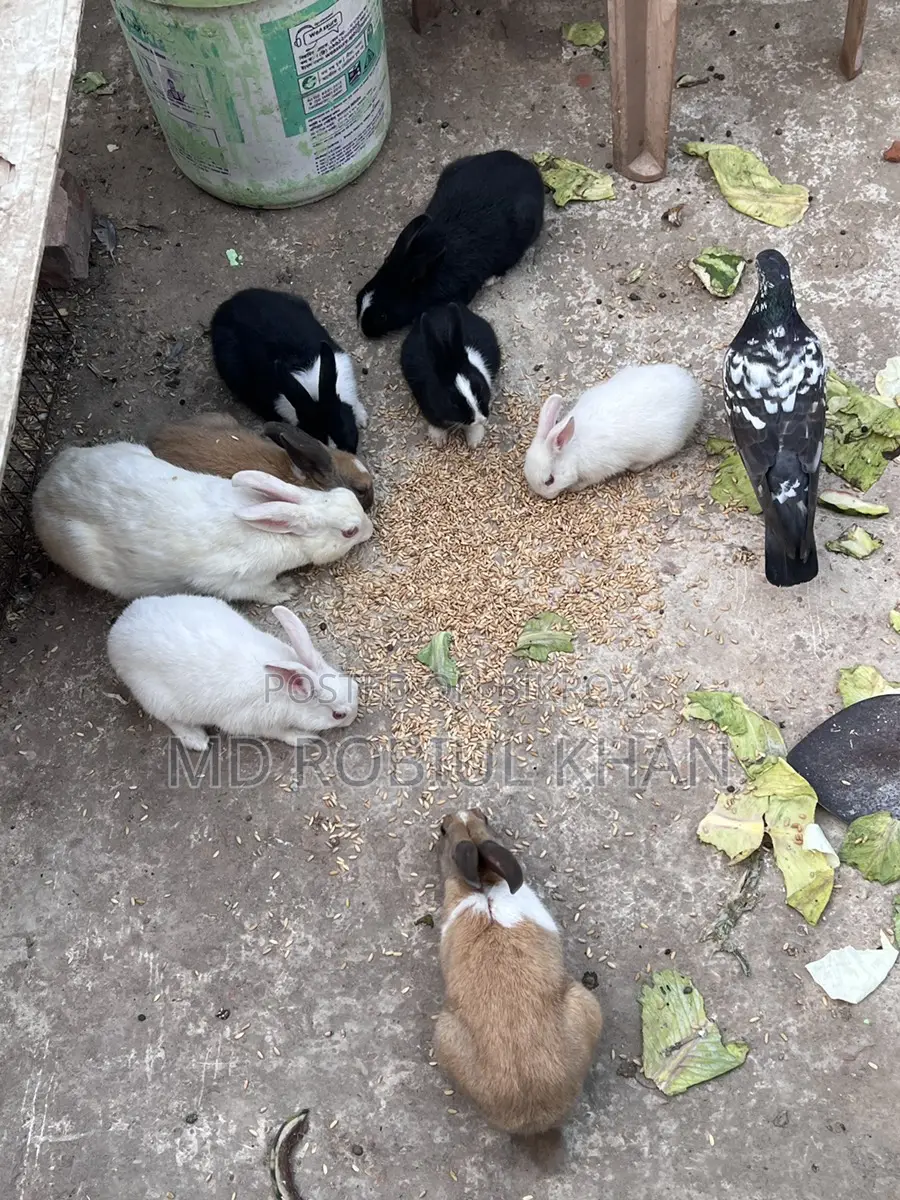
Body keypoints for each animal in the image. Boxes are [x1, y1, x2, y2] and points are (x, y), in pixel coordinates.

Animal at [32, 442, 372, 603]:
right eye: (349, 532)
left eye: (347, 495)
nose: (370, 529)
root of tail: (43, 490)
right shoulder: (235, 582)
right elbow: (262, 592)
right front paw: (286, 591)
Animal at [108, 595, 358, 751]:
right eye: (338, 715)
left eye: (354, 685)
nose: (353, 718)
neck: (285, 691)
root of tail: (117, 632)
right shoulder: (252, 722)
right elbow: (281, 733)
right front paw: (304, 738)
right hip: (157, 698)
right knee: (171, 720)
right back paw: (197, 740)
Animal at [400, 303, 501, 448]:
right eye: (452, 402)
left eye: (480, 388)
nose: (479, 419)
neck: (450, 361)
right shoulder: (427, 404)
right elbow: (435, 421)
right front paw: (438, 440)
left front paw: (474, 441)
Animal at [524, 364, 704, 499]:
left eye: (550, 480)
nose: (547, 496)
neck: (572, 451)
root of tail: (694, 391)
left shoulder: (597, 471)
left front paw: (574, 487)